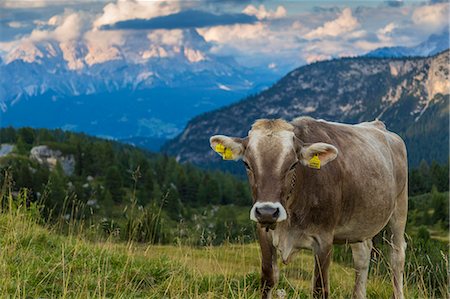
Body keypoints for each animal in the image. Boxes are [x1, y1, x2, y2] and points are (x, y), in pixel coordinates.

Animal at [210, 116, 408, 299]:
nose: (267, 212)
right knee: (362, 257)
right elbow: (268, 281)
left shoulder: (323, 239)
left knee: (396, 257)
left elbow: (320, 289)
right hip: (359, 225)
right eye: (246, 164)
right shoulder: (263, 233)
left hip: (400, 207)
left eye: (293, 164)